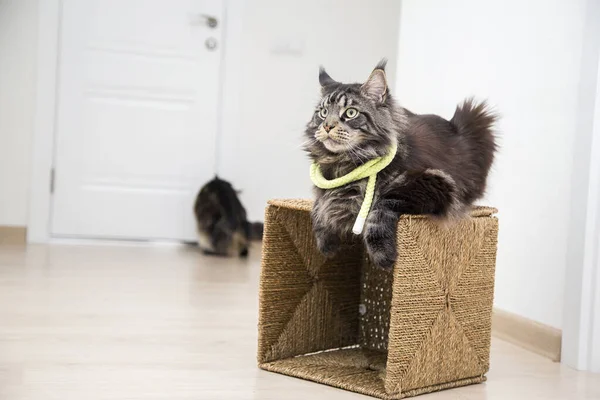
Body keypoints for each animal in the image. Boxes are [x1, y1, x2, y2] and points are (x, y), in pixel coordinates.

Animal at [304, 60, 496, 272]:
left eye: (351, 113)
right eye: (323, 113)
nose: (327, 126)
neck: (344, 164)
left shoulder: (433, 181)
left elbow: (382, 205)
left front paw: (383, 256)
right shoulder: (323, 189)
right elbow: (318, 206)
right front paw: (326, 243)